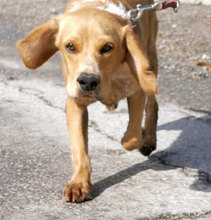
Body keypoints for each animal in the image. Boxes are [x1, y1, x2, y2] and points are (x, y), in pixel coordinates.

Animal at [16, 0, 158, 203]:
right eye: (70, 46)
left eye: (107, 47)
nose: (88, 81)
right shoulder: (74, 103)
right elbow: (79, 149)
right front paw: (79, 183)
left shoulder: (137, 91)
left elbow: (131, 138)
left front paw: (142, 136)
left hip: (151, 60)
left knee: (152, 102)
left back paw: (149, 138)